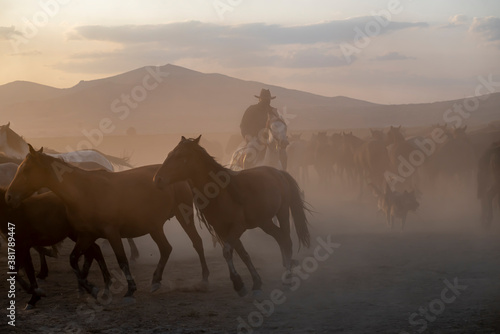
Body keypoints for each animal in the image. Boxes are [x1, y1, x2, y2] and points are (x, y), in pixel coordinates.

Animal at [5, 145, 209, 300]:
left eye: (26, 170)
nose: (9, 196)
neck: (83, 191)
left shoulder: (112, 233)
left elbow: (122, 260)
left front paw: (130, 289)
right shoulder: (86, 235)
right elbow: (75, 259)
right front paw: (91, 288)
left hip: (184, 216)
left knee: (197, 242)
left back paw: (204, 279)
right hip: (154, 226)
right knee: (166, 248)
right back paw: (155, 281)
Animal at [153, 136, 308, 298]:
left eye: (180, 155)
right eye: (170, 153)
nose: (157, 179)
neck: (221, 193)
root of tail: (279, 172)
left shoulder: (237, 227)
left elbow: (227, 251)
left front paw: (238, 283)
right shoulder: (222, 230)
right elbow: (243, 254)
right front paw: (255, 283)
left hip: (282, 212)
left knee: (287, 241)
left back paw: (288, 278)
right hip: (264, 222)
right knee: (280, 237)